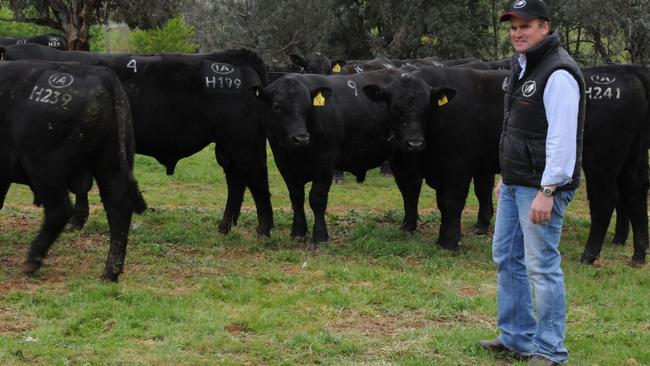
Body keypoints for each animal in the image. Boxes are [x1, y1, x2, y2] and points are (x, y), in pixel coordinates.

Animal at [0, 44, 270, 236]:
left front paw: (75, 220)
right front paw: (77, 220)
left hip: (245, 142)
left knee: (257, 178)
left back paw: (263, 229)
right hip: (228, 146)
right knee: (236, 181)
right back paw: (225, 226)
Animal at [0, 61, 144, 282]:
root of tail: (98, 73)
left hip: (45, 168)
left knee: (60, 210)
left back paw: (32, 260)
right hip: (110, 161)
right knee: (118, 206)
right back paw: (110, 273)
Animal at [256, 68, 454, 246]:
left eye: (307, 106)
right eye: (277, 106)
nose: (301, 138)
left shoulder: (325, 161)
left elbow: (317, 198)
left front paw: (319, 237)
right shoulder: (283, 162)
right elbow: (296, 197)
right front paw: (297, 232)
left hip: (410, 155)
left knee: (413, 185)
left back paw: (410, 227)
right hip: (398, 156)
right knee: (405, 187)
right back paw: (405, 225)